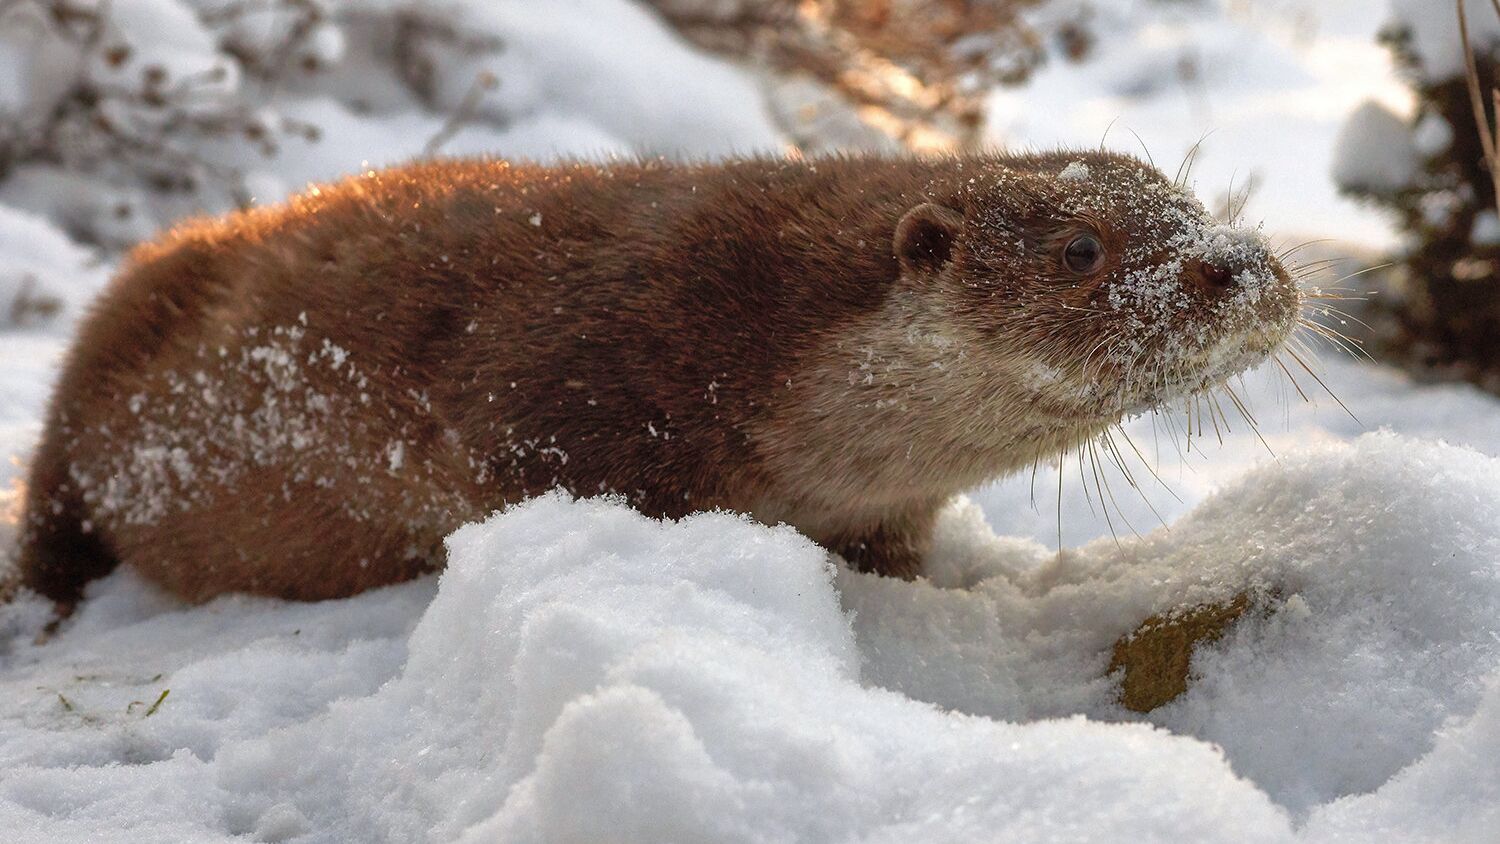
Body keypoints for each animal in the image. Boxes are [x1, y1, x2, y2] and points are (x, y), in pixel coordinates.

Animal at [8, 153, 1302, 608]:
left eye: (1190, 203)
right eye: (1081, 249)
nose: (1241, 265)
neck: (736, 339)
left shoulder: (878, 509)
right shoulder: (559, 395)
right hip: (93, 365)